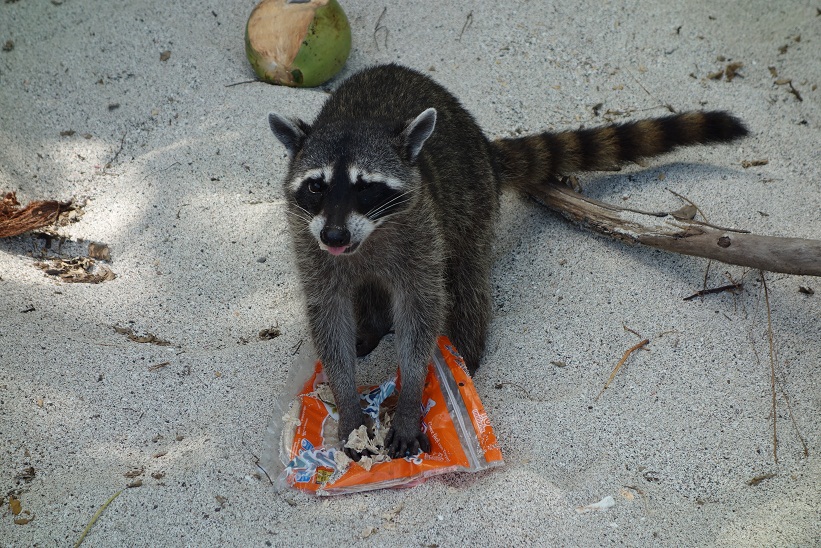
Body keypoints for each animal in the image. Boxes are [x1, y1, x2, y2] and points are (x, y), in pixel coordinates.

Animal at [270, 63, 748, 458]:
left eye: (366, 187)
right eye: (316, 185)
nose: (334, 236)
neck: (365, 237)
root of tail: (482, 144)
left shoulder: (419, 231)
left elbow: (421, 312)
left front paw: (411, 394)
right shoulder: (309, 241)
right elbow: (328, 315)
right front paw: (348, 402)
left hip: (470, 205)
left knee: (464, 280)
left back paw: (463, 353)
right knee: (369, 288)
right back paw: (371, 324)